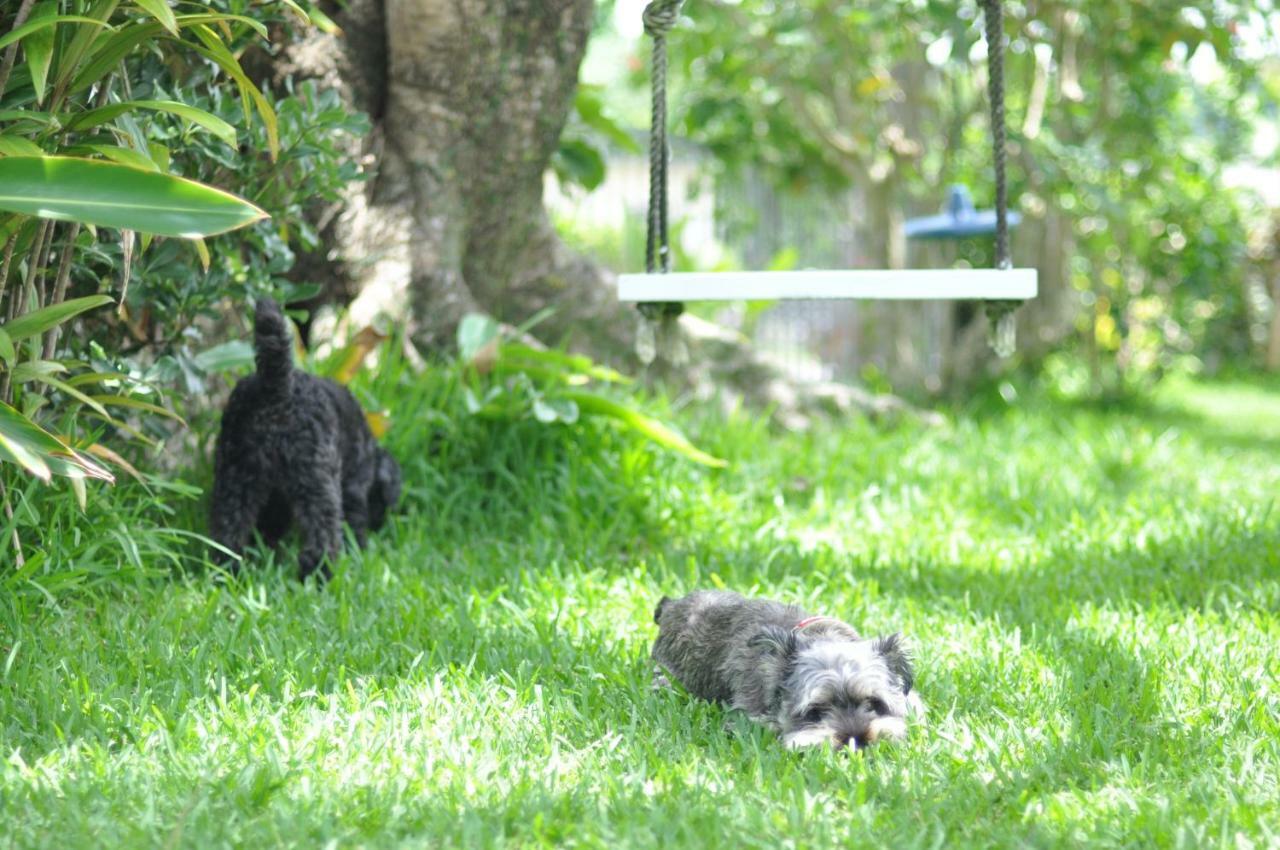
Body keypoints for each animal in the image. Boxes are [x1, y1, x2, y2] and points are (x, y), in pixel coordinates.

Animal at [209, 295, 399, 581]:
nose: (382, 524)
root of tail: (277, 389)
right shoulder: (353, 488)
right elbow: (353, 521)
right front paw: (359, 550)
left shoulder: (275, 499)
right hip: (316, 482)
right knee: (322, 537)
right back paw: (321, 574)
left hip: (236, 473)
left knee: (228, 530)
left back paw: (226, 569)